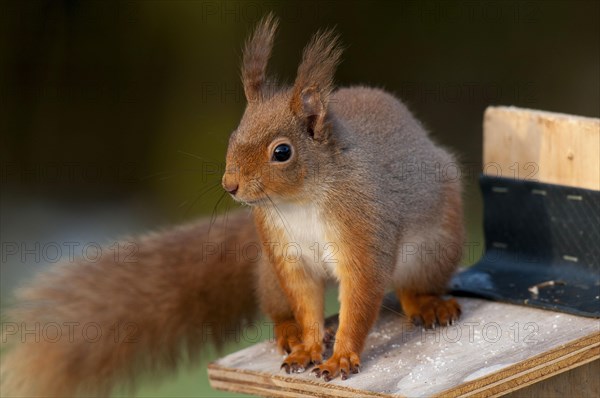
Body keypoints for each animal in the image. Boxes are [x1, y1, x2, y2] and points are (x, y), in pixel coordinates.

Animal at [1, 14, 464, 394]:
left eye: (282, 152)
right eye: (233, 135)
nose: (231, 185)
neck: (299, 201)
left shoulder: (364, 233)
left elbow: (361, 299)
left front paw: (341, 358)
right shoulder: (285, 253)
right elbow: (306, 303)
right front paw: (309, 347)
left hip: (433, 249)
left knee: (409, 288)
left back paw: (428, 304)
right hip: (268, 270)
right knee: (281, 307)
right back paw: (291, 333)